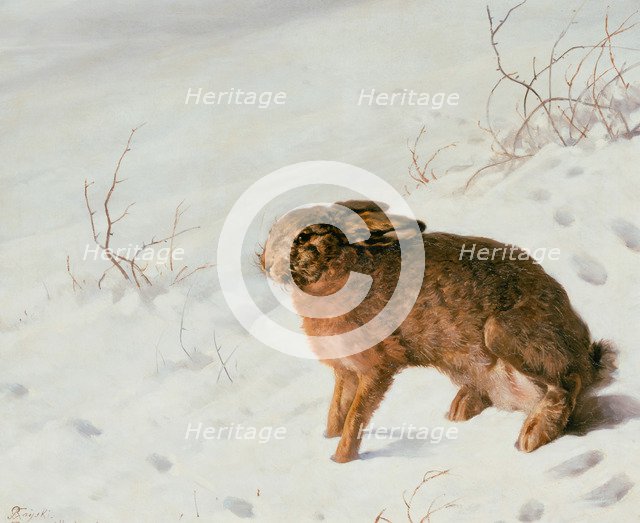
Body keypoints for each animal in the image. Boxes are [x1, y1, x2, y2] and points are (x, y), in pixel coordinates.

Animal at [260, 200, 615, 463]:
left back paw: (533, 435)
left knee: (566, 385)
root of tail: (587, 356)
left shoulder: (375, 369)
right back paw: (461, 408)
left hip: (501, 333)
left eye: (304, 237)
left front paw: (340, 459)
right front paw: (327, 441)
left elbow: (355, 417)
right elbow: (336, 413)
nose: (265, 263)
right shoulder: (346, 371)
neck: (344, 269)